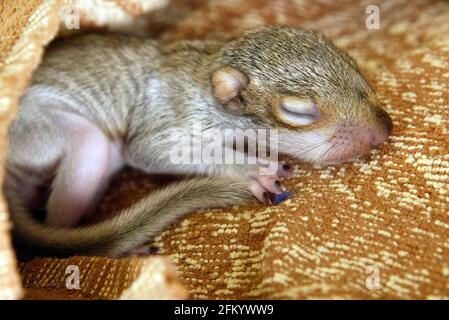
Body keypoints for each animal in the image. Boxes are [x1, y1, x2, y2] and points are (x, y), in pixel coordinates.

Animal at [3, 26, 390, 258]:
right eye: (298, 111)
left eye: (355, 67)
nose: (383, 129)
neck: (206, 75)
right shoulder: (171, 113)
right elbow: (152, 151)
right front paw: (254, 169)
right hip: (44, 133)